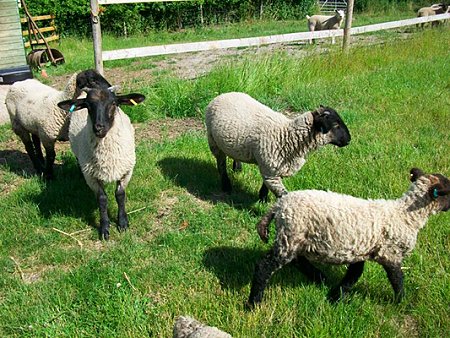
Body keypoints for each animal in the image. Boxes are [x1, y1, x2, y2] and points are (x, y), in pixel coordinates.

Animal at [56, 87, 144, 240]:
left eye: (114, 103)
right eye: (88, 105)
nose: (99, 128)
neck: (107, 156)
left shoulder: (126, 171)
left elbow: (120, 195)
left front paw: (123, 223)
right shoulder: (91, 176)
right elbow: (102, 199)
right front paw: (104, 228)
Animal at [205, 92, 352, 202]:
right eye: (336, 125)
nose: (349, 140)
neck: (287, 135)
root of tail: (224, 94)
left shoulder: (274, 168)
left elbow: (266, 186)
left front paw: (262, 199)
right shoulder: (270, 169)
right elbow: (282, 194)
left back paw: (237, 168)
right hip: (213, 141)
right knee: (221, 164)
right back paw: (226, 186)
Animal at [246, 167, 450, 306]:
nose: (449, 207)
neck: (406, 215)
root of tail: (279, 205)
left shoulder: (360, 250)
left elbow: (354, 274)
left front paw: (337, 297)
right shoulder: (390, 254)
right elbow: (397, 280)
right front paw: (401, 302)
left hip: (295, 239)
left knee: (298, 260)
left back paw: (319, 277)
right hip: (290, 235)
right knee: (264, 266)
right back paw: (254, 302)